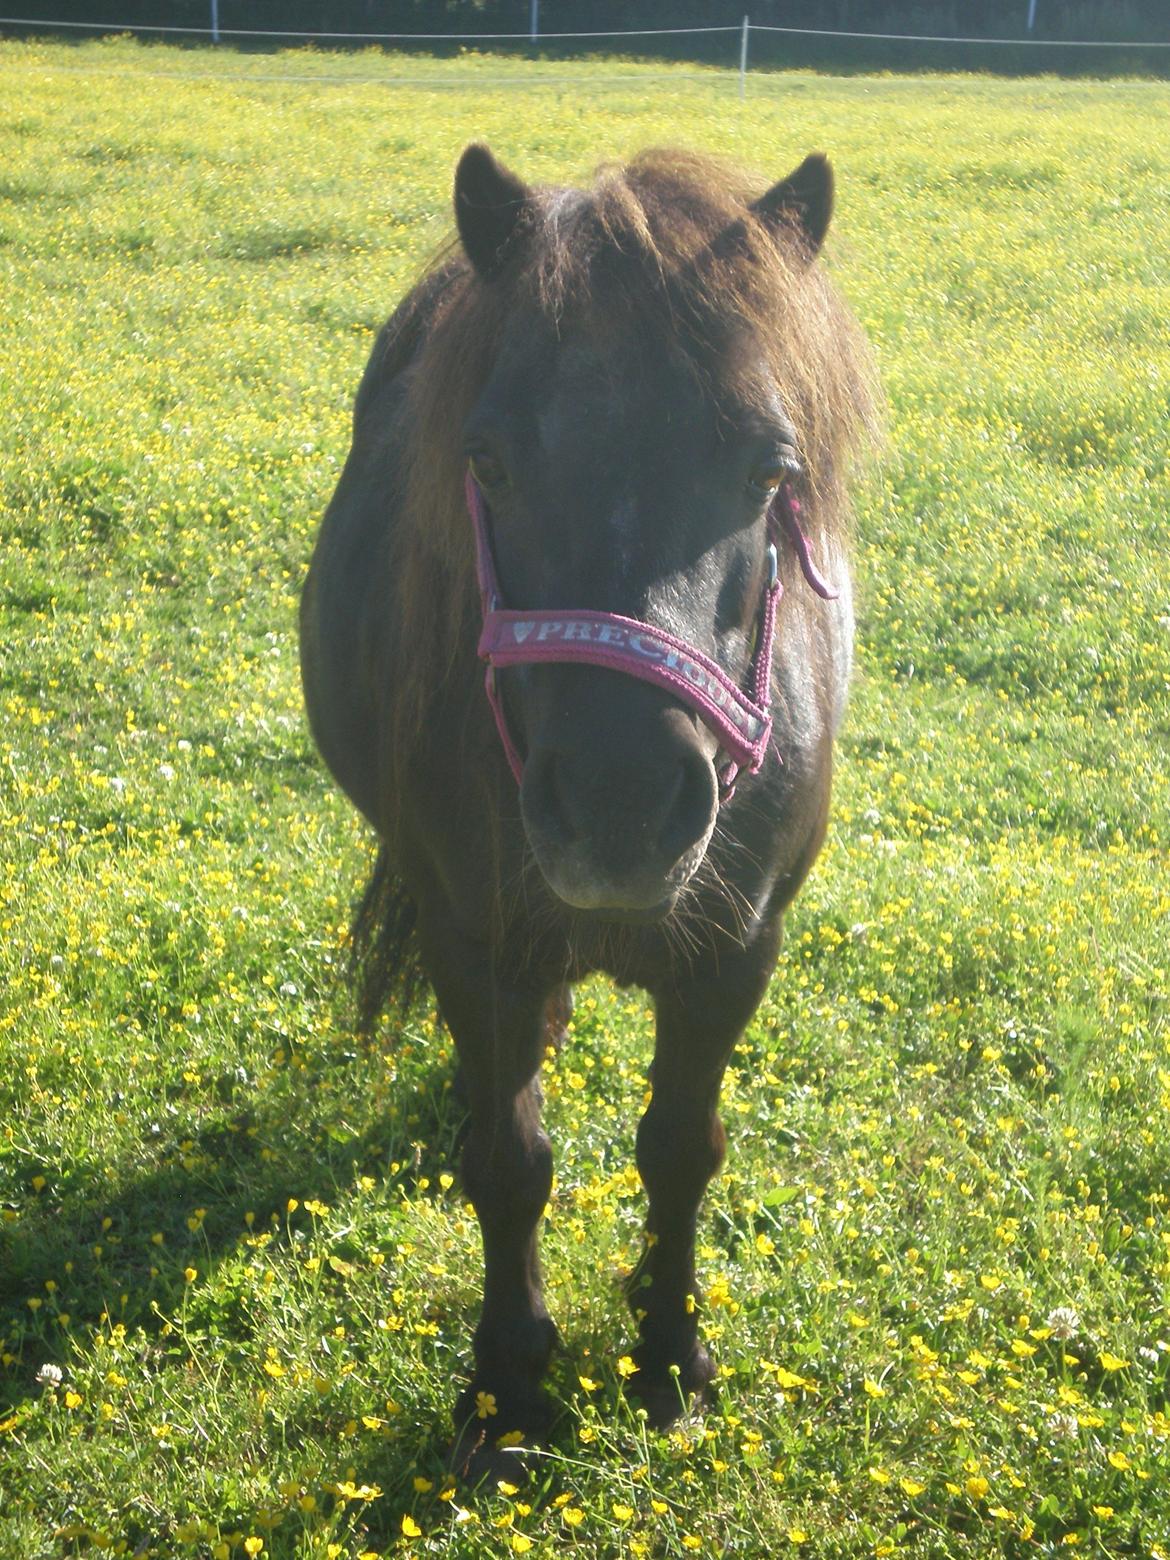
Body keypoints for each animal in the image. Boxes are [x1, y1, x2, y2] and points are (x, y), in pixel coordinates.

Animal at [300, 143, 877, 1480]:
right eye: (490, 460)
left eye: (770, 472)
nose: (621, 810)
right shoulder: (475, 944)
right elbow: (510, 1164)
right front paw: (509, 1387)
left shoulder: (736, 949)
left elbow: (681, 1148)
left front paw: (669, 1356)